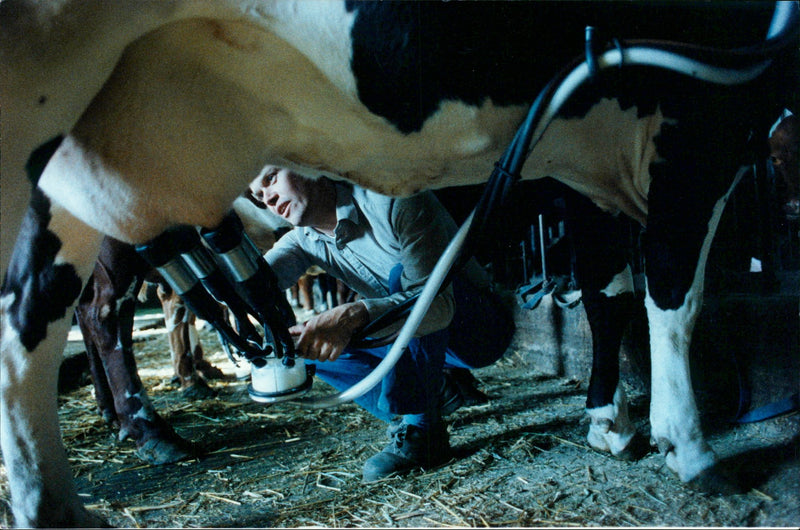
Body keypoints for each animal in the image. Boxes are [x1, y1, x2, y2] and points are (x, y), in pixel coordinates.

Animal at [0, 1, 796, 524]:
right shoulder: (700, 112)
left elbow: (611, 295)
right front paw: (690, 449)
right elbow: (673, 289)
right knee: (58, 325)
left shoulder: (588, 152)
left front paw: (608, 421)